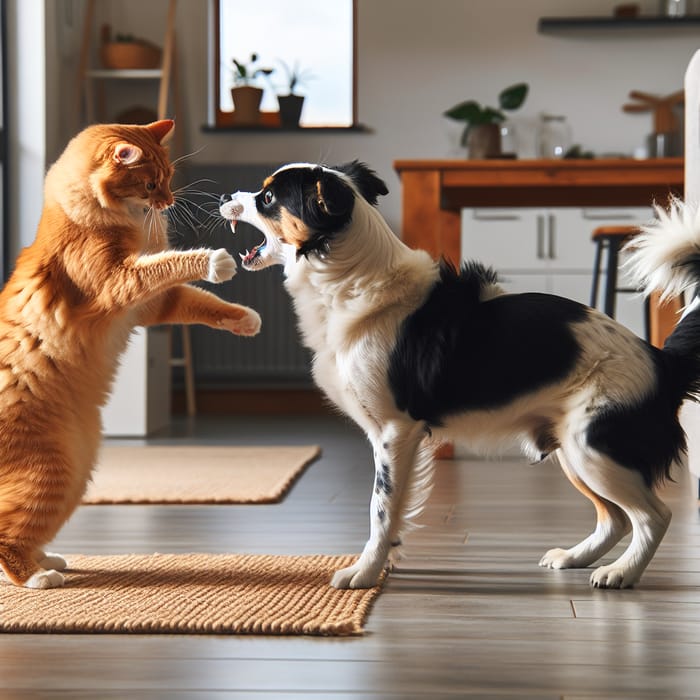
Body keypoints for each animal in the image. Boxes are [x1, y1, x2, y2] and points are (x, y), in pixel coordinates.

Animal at [0, 120, 262, 584]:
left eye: (170, 179)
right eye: (151, 183)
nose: (170, 201)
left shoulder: (154, 306)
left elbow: (204, 304)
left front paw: (245, 319)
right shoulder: (119, 282)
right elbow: (169, 264)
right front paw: (215, 262)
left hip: (75, 475)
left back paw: (46, 560)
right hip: (51, 471)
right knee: (5, 537)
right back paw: (36, 577)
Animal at [221, 163, 700, 592]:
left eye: (267, 197)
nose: (225, 195)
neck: (351, 278)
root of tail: (660, 360)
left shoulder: (395, 431)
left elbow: (379, 507)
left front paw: (364, 573)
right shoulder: (392, 438)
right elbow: (394, 509)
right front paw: (386, 561)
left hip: (594, 447)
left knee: (653, 516)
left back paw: (622, 573)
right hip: (573, 450)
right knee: (615, 518)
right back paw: (575, 558)